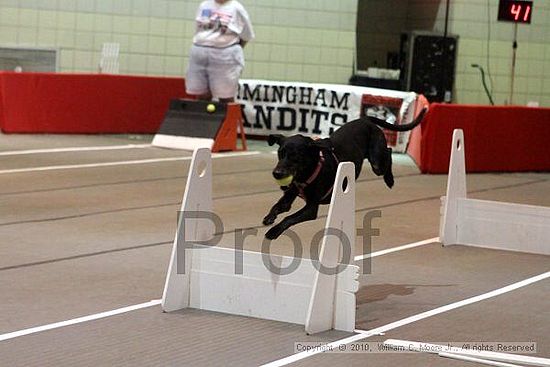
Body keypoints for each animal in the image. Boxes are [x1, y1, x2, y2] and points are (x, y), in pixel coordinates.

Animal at [264, 108, 432, 240]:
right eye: (280, 153)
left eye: (296, 156)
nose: (277, 174)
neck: (308, 173)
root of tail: (365, 120)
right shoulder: (289, 196)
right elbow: (278, 207)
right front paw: (269, 218)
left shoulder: (311, 208)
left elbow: (289, 217)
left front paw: (273, 232)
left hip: (377, 161)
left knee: (389, 153)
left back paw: (389, 180)